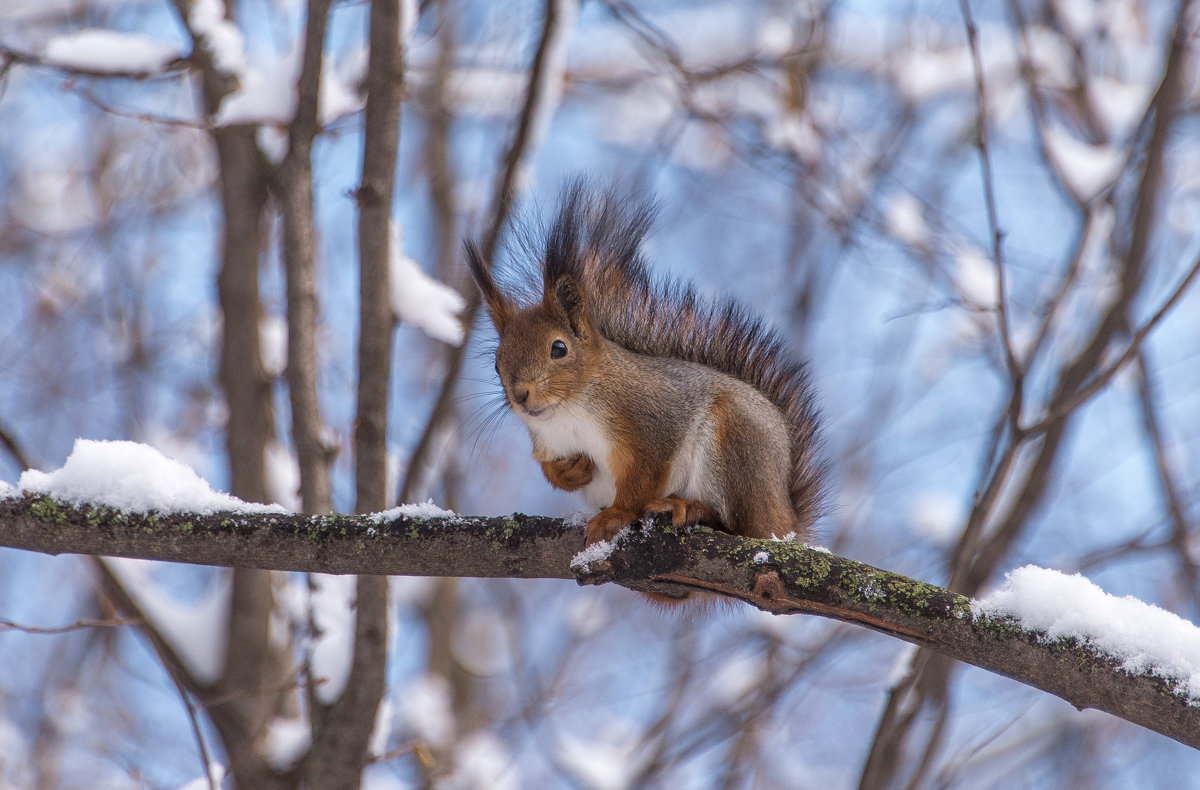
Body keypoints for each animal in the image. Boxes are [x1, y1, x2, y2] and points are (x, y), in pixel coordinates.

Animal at [468, 182, 825, 554]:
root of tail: (785, 519)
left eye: (559, 349)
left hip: (737, 441)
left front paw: (616, 514)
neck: (570, 410)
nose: (520, 395)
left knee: (739, 525)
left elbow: (642, 482)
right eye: (496, 362)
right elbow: (552, 470)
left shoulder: (653, 425)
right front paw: (570, 472)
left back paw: (689, 507)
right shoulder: (547, 443)